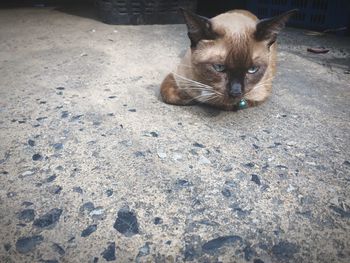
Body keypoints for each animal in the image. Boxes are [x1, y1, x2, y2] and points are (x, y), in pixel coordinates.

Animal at [160, 8, 296, 111]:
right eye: (219, 67)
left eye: (252, 69)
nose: (236, 92)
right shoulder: (177, 75)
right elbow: (167, 94)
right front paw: (190, 97)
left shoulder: (259, 94)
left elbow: (232, 103)